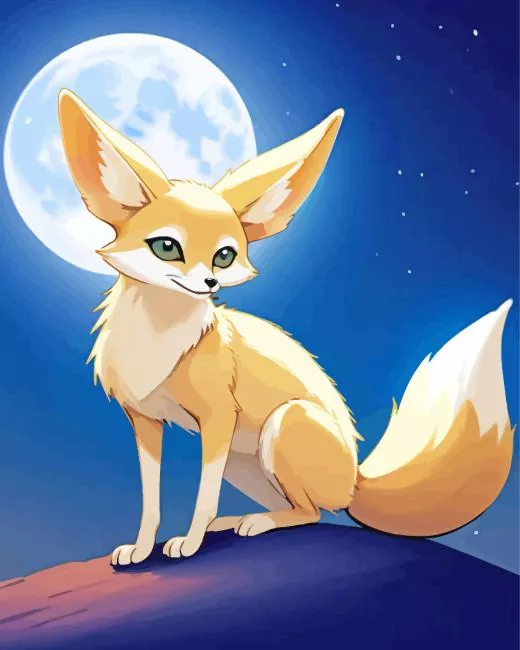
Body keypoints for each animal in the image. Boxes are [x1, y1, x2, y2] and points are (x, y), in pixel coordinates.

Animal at [58, 89, 514, 566]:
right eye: (167, 247)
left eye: (224, 256)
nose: (210, 283)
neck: (158, 339)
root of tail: (355, 480)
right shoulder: (145, 421)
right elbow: (151, 501)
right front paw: (143, 549)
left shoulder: (218, 419)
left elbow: (203, 497)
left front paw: (191, 542)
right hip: (245, 460)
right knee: (302, 509)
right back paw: (239, 520)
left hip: (282, 424)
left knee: (312, 513)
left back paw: (254, 523)